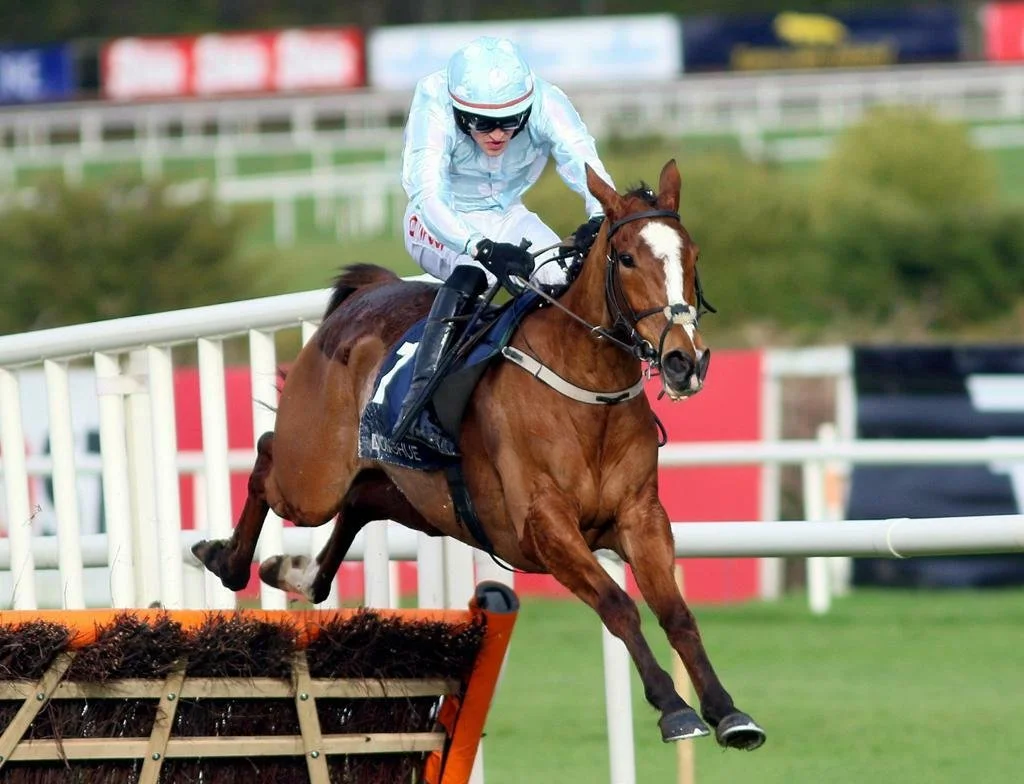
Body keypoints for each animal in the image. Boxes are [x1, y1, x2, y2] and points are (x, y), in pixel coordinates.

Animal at [192, 159, 766, 750]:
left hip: (420, 501)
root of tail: (365, 294)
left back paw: (298, 574)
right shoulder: (544, 527)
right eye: (627, 257)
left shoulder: (640, 516)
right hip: (313, 479)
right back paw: (225, 558)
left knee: (360, 503)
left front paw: (727, 711)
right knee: (269, 457)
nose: (683, 361)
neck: (587, 393)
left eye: (692, 254)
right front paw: (673, 707)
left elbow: (676, 612)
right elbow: (618, 604)